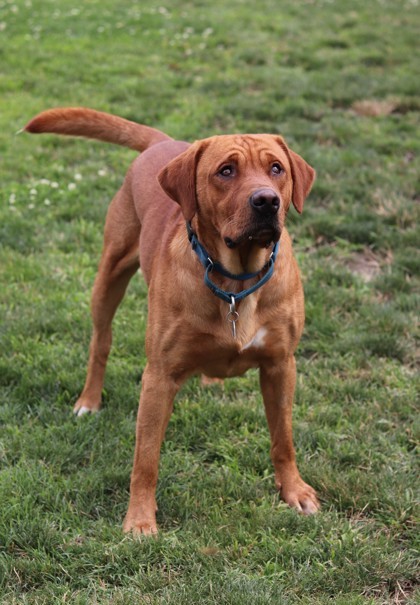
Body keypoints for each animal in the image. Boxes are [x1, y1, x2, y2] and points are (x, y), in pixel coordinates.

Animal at [25, 108, 318, 532]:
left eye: (276, 168)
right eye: (226, 171)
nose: (267, 201)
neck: (236, 280)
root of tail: (164, 143)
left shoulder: (281, 364)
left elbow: (284, 438)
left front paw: (294, 491)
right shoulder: (159, 376)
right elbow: (145, 458)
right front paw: (140, 520)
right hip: (109, 274)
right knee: (101, 341)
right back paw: (89, 400)